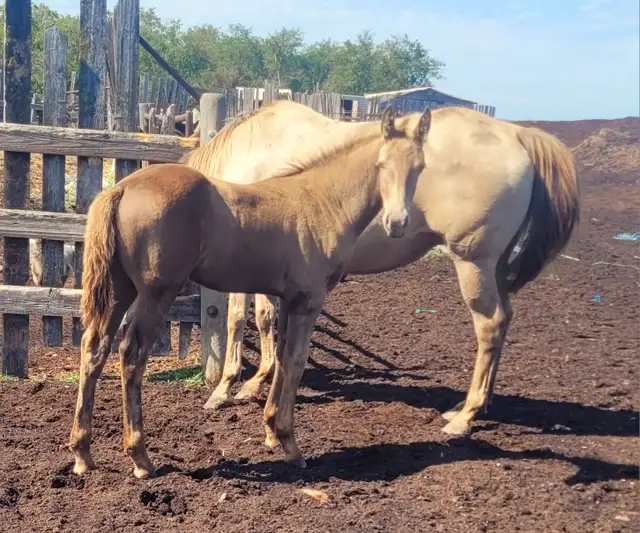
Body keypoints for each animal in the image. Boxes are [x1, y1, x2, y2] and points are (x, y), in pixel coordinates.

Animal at [67, 107, 432, 478]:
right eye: (382, 164)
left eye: (419, 167)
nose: (397, 223)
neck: (323, 202)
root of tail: (121, 188)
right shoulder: (309, 300)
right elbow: (296, 360)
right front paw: (290, 443)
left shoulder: (288, 299)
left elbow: (282, 357)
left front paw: (271, 432)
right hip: (157, 292)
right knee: (131, 353)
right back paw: (141, 457)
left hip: (120, 289)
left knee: (94, 347)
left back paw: (83, 453)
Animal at [182, 100, 580, 437]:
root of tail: (516, 134)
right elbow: (266, 320)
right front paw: (256, 382)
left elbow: (237, 320)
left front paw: (224, 390)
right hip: (493, 267)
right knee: (505, 319)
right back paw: (474, 407)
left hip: (473, 263)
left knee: (490, 325)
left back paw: (466, 416)